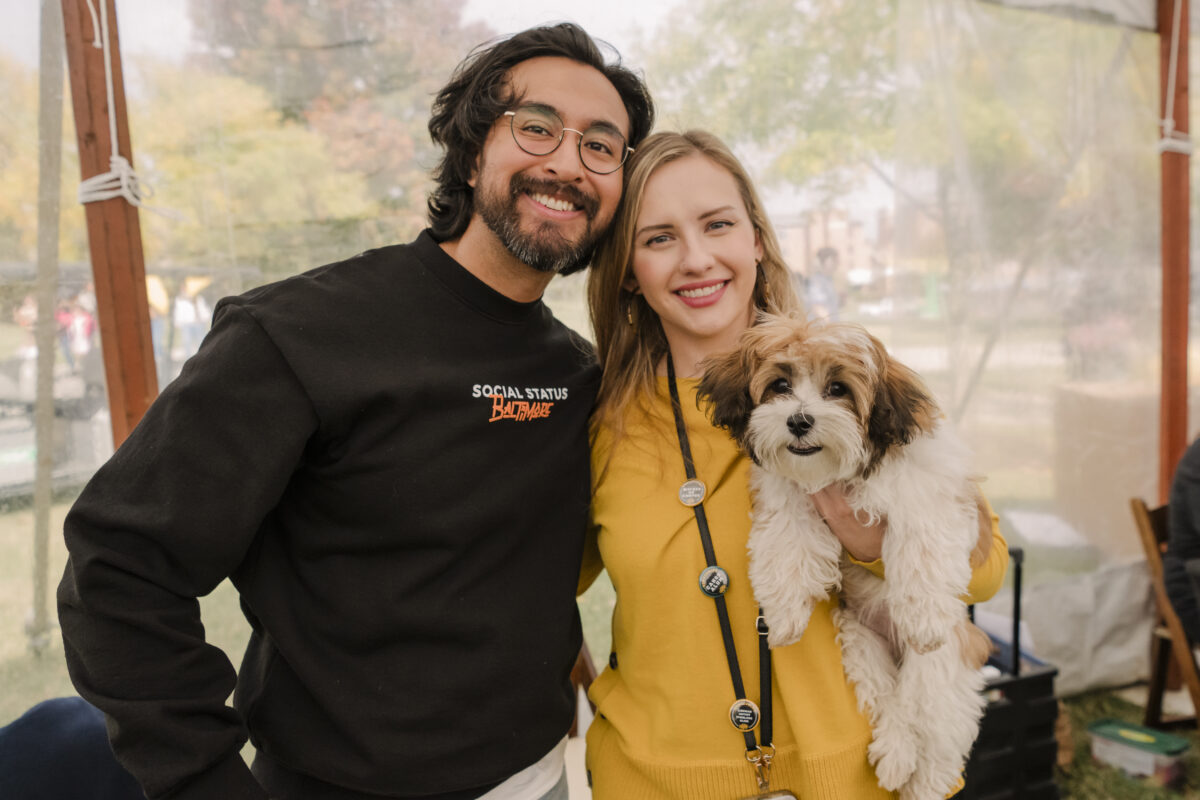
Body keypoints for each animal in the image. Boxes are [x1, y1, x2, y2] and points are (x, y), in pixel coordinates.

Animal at [696, 316, 993, 800]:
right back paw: (896, 754)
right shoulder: (789, 493)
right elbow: (787, 538)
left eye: (838, 388)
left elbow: (922, 539)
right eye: (780, 384)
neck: (849, 472)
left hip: (946, 661)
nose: (799, 420)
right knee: (890, 698)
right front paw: (784, 614)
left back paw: (923, 781)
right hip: (860, 638)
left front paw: (924, 616)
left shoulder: (929, 487)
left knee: (937, 721)